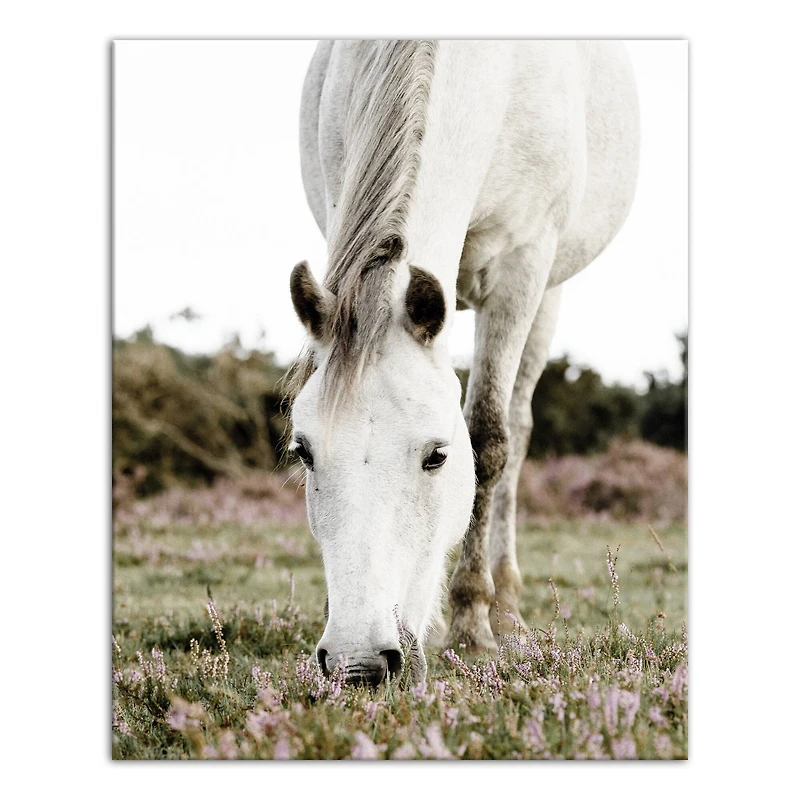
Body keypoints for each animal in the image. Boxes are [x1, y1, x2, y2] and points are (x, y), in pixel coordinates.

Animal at [287, 40, 639, 687]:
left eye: (437, 457)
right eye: (304, 452)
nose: (359, 663)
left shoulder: (522, 268)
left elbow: (491, 440)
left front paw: (472, 622)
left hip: (547, 293)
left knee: (517, 431)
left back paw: (505, 607)